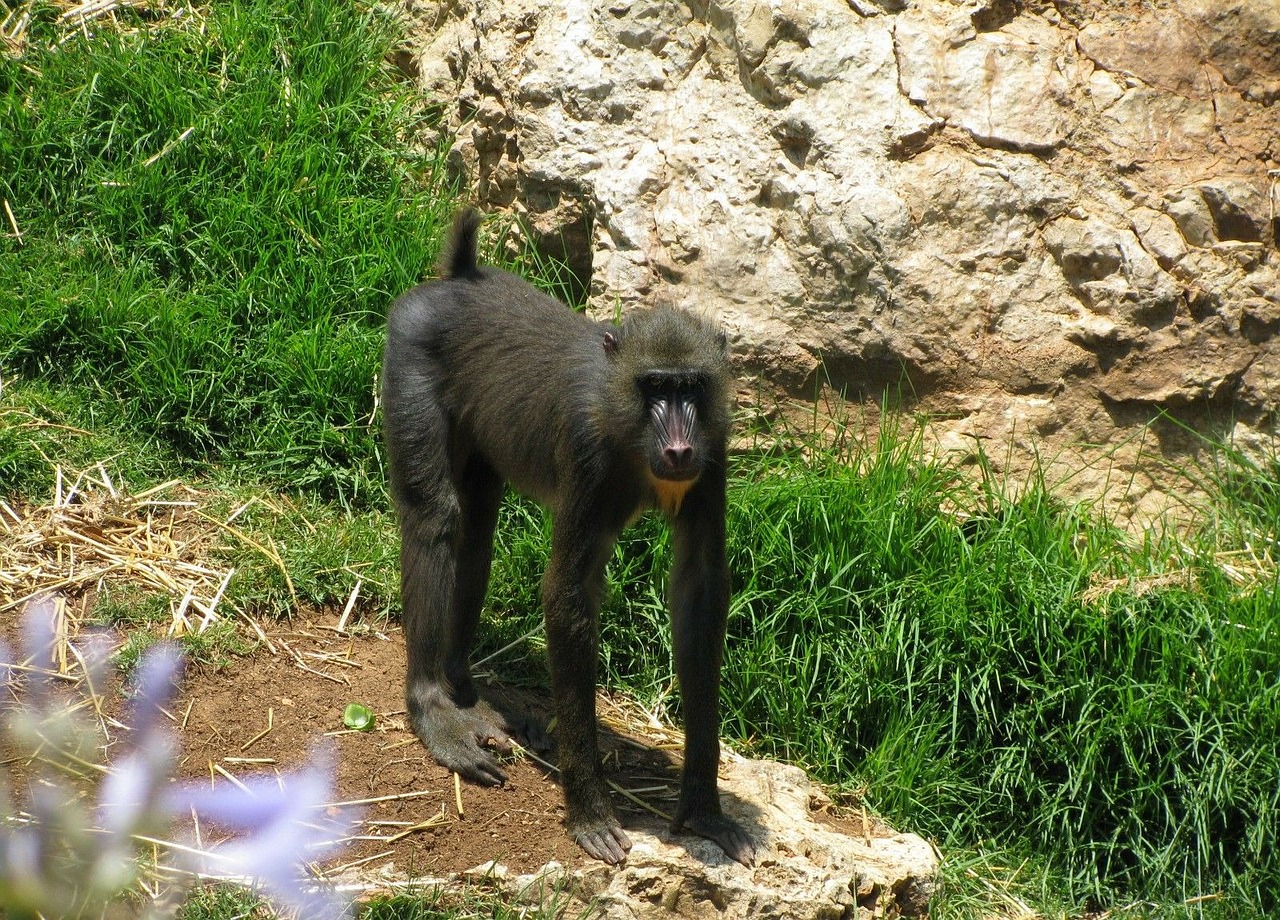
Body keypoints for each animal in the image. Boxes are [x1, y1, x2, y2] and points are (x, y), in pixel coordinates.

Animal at [378, 211, 757, 870]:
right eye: (655, 388)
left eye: (690, 387)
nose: (679, 448)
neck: (631, 433)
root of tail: (462, 277)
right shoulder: (584, 454)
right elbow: (569, 595)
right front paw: (590, 813)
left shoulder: (713, 453)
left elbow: (699, 590)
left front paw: (703, 808)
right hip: (410, 357)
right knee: (436, 518)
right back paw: (435, 710)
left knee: (477, 530)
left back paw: (465, 691)